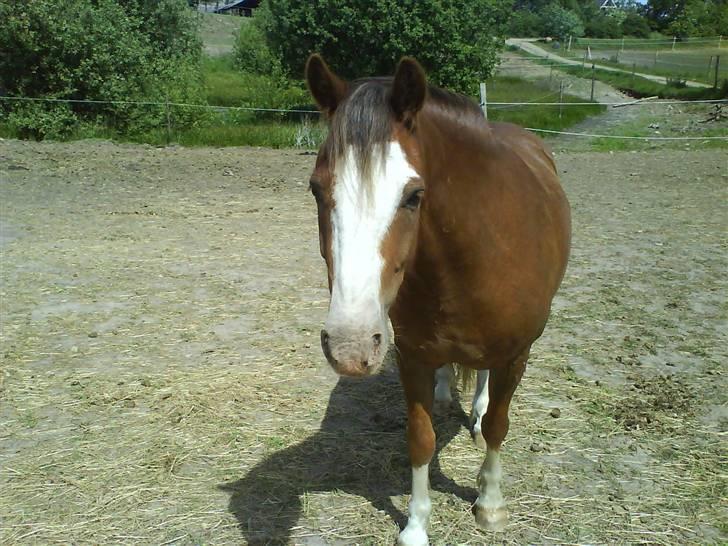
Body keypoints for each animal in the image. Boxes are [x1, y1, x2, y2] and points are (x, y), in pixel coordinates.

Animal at [304, 54, 571, 545]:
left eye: (414, 195)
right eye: (316, 189)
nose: (351, 347)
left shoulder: (516, 355)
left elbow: (498, 426)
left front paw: (489, 505)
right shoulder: (412, 356)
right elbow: (420, 439)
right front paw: (415, 526)